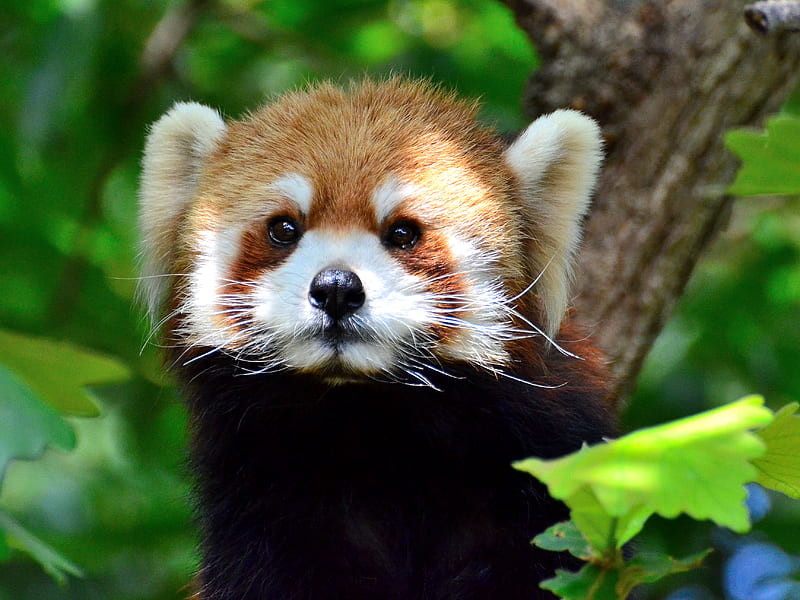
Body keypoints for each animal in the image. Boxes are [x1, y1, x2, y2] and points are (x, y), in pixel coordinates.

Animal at [139, 77, 612, 596]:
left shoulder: (544, 473)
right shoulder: (263, 504)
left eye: (403, 232)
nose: (337, 288)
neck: (370, 422)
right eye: (284, 228)